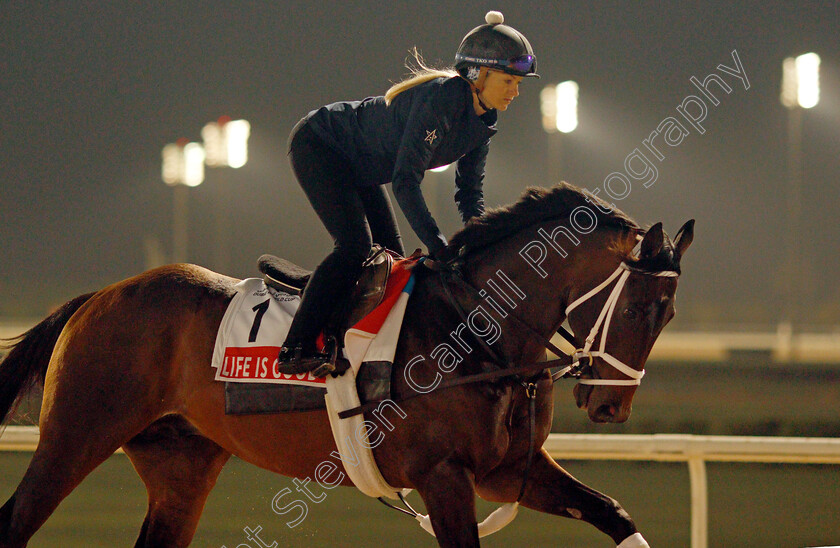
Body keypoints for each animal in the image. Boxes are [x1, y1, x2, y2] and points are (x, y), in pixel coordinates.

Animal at [0, 182, 692, 544]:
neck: (479, 333)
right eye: (639, 309)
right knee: (15, 520)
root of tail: (101, 295)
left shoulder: (507, 471)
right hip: (77, 433)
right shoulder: (444, 475)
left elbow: (613, 512)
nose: (611, 405)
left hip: (181, 462)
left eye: (669, 316)